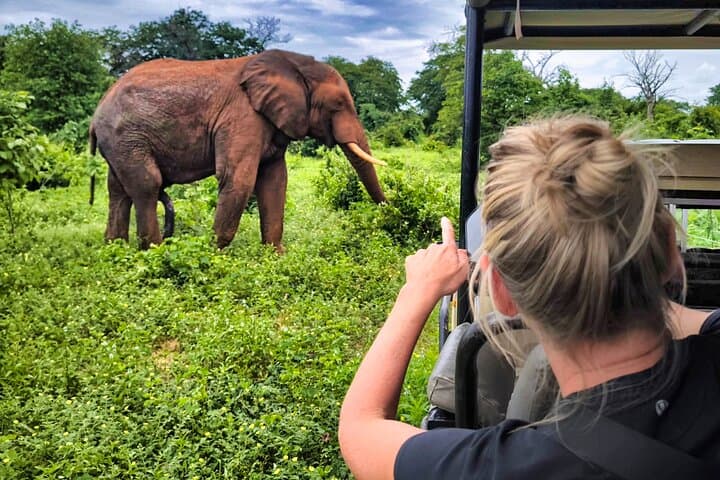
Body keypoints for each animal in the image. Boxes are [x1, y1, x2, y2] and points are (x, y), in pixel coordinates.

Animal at [89, 49, 387, 251]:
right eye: (338, 104)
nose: (388, 212)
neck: (295, 64)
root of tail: (96, 113)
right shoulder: (242, 116)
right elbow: (238, 178)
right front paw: (213, 255)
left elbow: (275, 180)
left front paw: (275, 256)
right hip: (127, 136)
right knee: (147, 185)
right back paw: (155, 252)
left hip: (120, 142)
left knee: (118, 189)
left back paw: (116, 248)